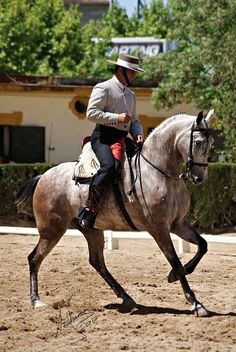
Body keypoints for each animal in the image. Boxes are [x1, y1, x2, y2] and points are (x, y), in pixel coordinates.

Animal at [15, 109, 215, 316]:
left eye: (211, 143)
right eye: (198, 142)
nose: (199, 178)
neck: (159, 172)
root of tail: (43, 176)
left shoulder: (178, 223)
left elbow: (203, 245)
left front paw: (176, 275)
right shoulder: (159, 229)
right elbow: (175, 260)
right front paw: (195, 302)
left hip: (91, 229)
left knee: (97, 262)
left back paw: (126, 298)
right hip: (52, 230)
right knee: (34, 258)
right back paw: (36, 300)